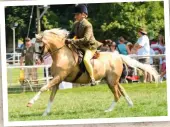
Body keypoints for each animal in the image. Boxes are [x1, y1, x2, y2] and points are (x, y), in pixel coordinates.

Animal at [26, 28, 159, 115]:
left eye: (40, 46)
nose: (36, 60)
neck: (62, 54)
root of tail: (118, 56)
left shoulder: (58, 77)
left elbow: (43, 88)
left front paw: (30, 103)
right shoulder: (57, 80)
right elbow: (51, 96)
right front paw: (45, 112)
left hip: (112, 82)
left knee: (117, 94)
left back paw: (108, 110)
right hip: (112, 80)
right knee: (122, 91)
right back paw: (130, 105)